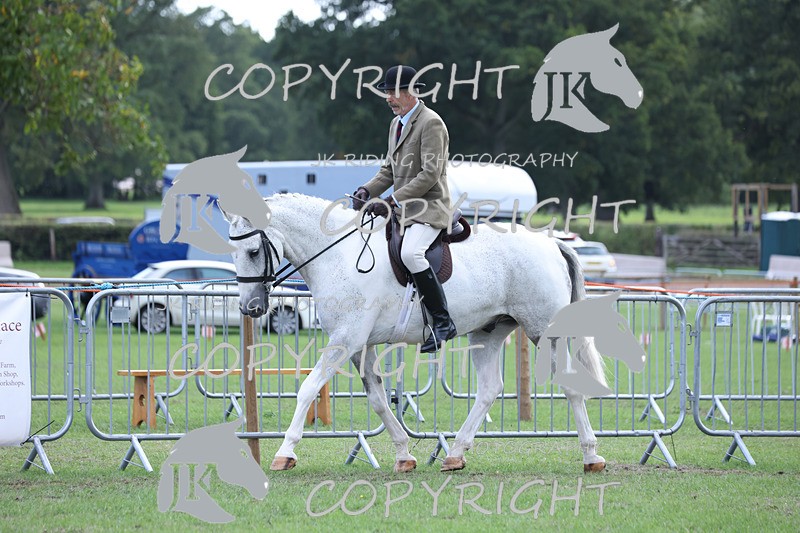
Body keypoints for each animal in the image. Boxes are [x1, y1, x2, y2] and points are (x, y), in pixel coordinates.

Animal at [226, 193, 611, 474]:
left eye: (253, 251)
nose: (250, 307)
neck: (338, 255)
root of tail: (551, 243)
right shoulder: (359, 346)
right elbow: (379, 401)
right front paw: (403, 454)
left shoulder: (345, 340)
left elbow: (307, 389)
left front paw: (285, 452)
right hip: (487, 332)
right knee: (489, 389)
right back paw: (456, 454)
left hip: (543, 330)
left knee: (570, 386)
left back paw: (591, 456)